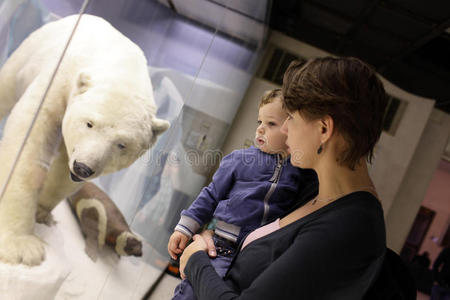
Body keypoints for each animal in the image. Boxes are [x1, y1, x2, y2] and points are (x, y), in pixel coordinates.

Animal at [0, 15, 171, 266]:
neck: (120, 64)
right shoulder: (60, 82)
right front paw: (23, 247)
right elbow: (29, 141)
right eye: (89, 123)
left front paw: (41, 211)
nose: (83, 167)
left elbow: (64, 173)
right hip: (29, 51)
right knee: (6, 88)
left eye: (122, 144)